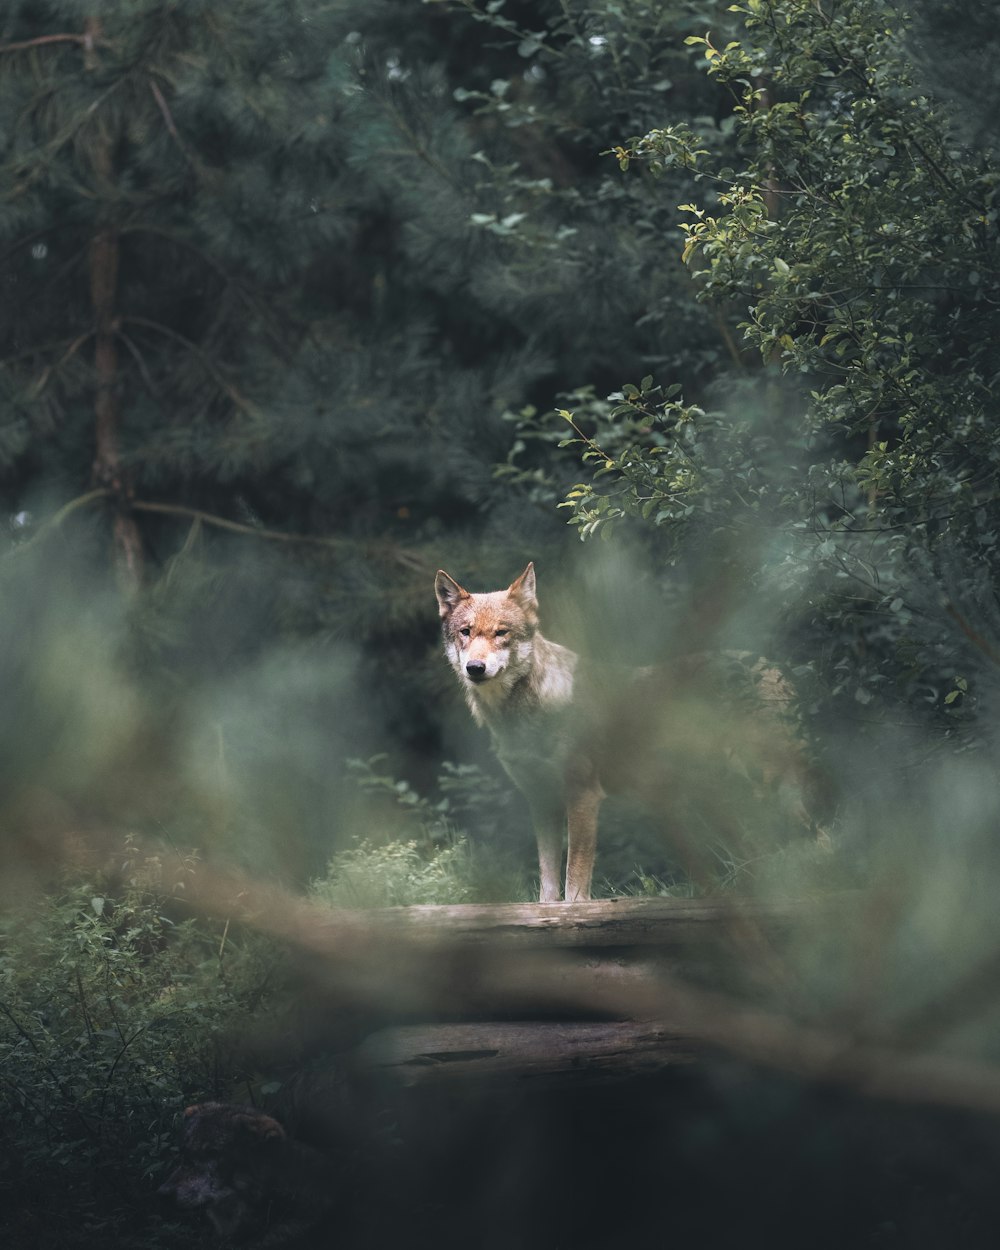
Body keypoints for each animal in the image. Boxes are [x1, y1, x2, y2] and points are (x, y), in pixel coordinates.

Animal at [435, 565, 820, 900]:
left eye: (501, 633)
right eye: (466, 632)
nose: (475, 668)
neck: (523, 716)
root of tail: (778, 669)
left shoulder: (584, 795)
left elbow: (574, 885)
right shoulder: (541, 801)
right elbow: (547, 886)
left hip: (764, 787)